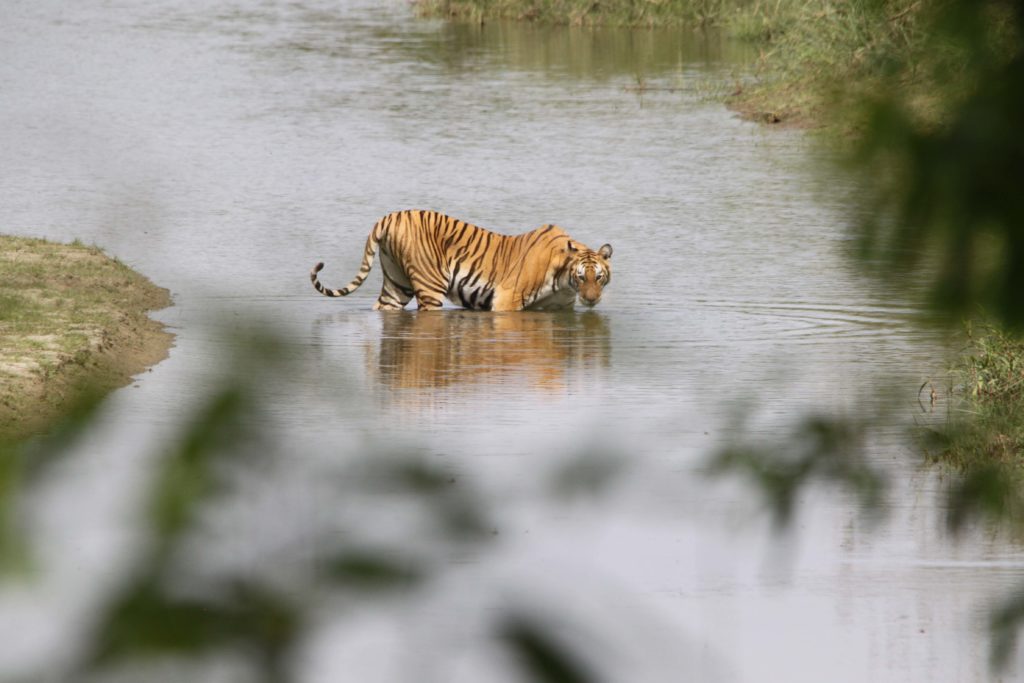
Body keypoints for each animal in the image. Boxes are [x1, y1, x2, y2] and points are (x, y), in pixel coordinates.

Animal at [311, 210, 610, 313]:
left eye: (599, 277)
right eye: (581, 276)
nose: (592, 299)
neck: (564, 282)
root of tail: (389, 217)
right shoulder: (506, 300)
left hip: (396, 285)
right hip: (429, 288)